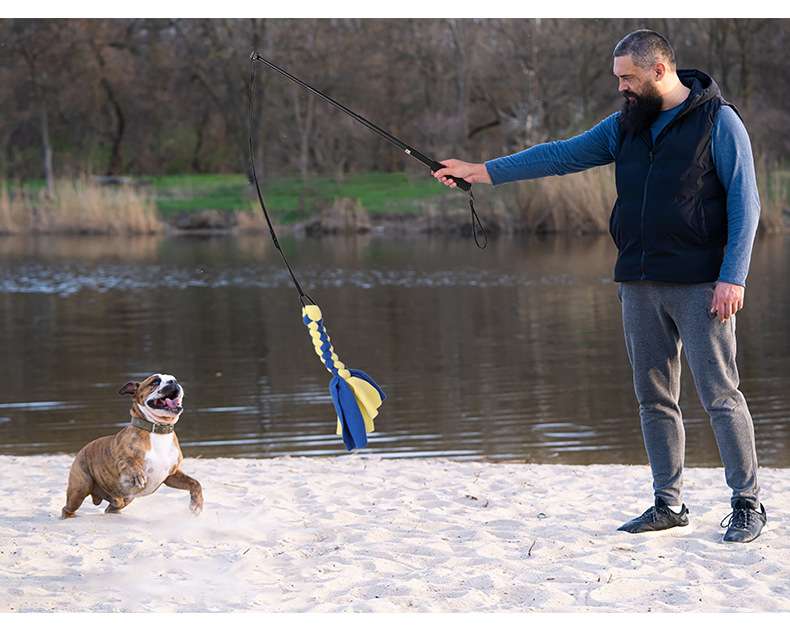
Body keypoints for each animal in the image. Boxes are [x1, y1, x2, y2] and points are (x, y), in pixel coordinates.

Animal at [62, 374, 204, 520]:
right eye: (155, 382)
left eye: (174, 379)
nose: (173, 382)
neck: (158, 430)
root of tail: (82, 450)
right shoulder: (120, 460)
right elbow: (129, 461)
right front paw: (138, 474)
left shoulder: (172, 474)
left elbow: (195, 483)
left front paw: (196, 505)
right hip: (80, 488)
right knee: (67, 508)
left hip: (124, 498)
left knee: (113, 506)